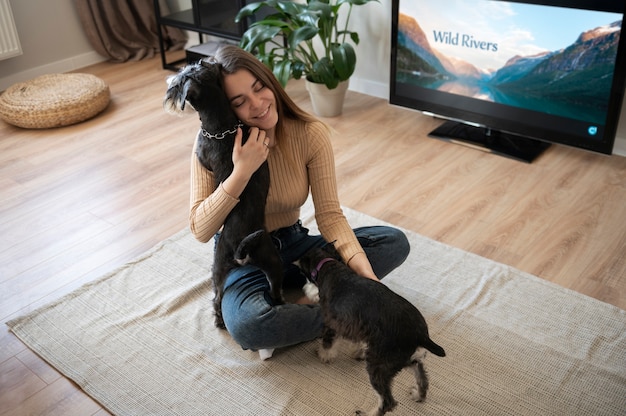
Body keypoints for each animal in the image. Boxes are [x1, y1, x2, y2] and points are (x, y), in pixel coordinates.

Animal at [163, 58, 286, 330]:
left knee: (217, 295)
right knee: (275, 288)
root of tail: (244, 250)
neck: (222, 123)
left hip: (218, 265)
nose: (169, 84)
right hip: (273, 262)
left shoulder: (201, 153)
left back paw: (219, 320)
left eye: (181, 80)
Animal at [298, 244, 444, 416]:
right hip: (412, 360)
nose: (304, 289)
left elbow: (328, 342)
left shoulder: (333, 322)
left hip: (379, 366)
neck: (329, 267)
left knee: (387, 401)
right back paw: (418, 395)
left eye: (306, 276)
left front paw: (324, 355)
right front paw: (357, 352)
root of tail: (420, 336)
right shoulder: (357, 326)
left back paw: (368, 413)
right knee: (422, 378)